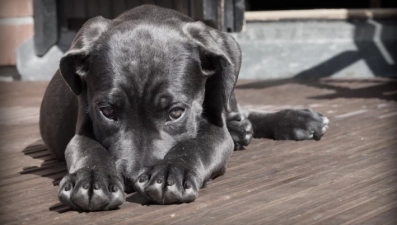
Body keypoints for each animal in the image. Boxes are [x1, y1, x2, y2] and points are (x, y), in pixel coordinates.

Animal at [39, 4, 328, 210]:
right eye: (107, 112)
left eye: (176, 112)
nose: (132, 179)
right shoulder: (83, 125)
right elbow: (87, 147)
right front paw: (91, 178)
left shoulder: (215, 129)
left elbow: (196, 144)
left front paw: (171, 172)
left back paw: (296, 120)